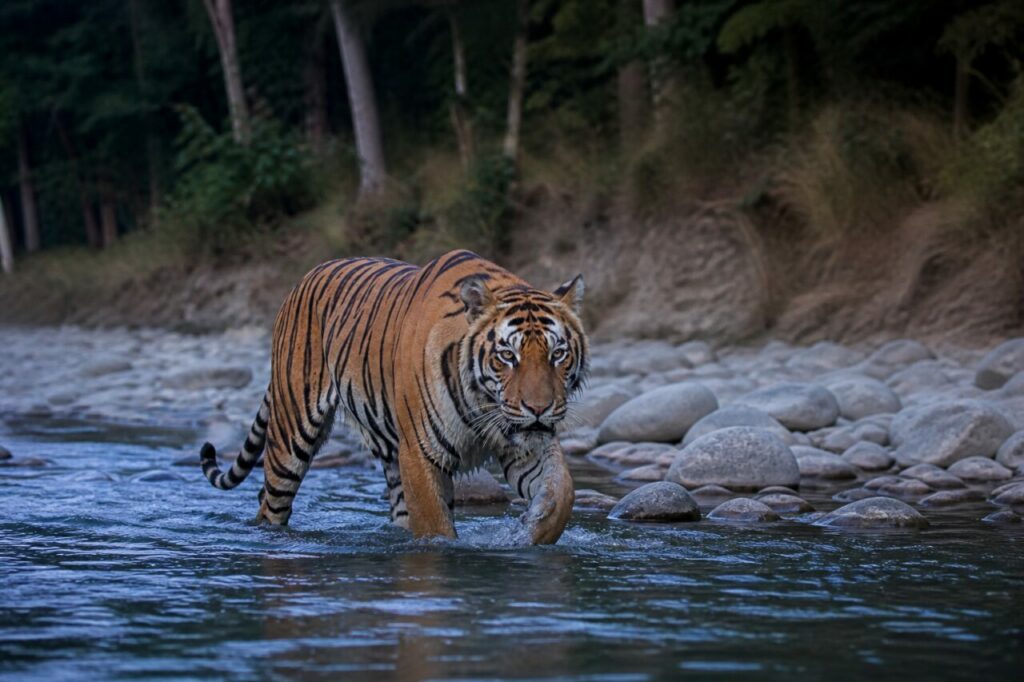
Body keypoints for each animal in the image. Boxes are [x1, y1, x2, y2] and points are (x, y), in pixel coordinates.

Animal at [199, 249, 588, 545]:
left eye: (557, 354)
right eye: (508, 356)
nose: (538, 408)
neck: (484, 404)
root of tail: (306, 276)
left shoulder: (522, 443)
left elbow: (562, 490)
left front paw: (531, 532)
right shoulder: (420, 452)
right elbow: (436, 527)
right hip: (291, 431)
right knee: (271, 501)